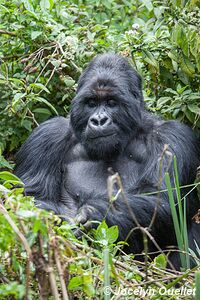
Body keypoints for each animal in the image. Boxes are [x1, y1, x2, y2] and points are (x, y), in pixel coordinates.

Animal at [16, 53, 200, 270]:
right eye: (91, 102)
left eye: (112, 102)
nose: (99, 120)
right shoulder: (46, 137)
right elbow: (29, 197)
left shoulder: (172, 136)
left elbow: (163, 197)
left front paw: (92, 213)